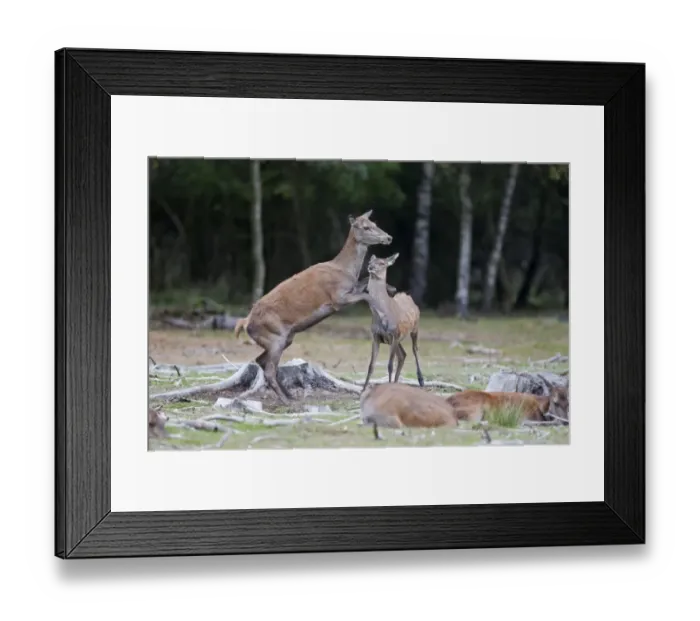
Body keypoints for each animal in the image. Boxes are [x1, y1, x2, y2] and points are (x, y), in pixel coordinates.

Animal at [234, 210, 392, 404]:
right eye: (366, 227)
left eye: (374, 223)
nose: (388, 237)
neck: (345, 270)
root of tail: (246, 322)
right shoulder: (337, 298)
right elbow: (367, 295)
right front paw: (383, 314)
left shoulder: (349, 290)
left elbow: (365, 284)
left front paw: (391, 290)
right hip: (275, 337)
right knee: (269, 368)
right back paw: (287, 401)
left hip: (283, 338)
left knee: (261, 360)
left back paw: (289, 395)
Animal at [360, 252, 424, 391]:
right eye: (370, 261)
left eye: (382, 263)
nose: (370, 267)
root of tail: (409, 297)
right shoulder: (376, 336)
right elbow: (371, 365)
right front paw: (363, 390)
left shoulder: (394, 334)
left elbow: (389, 365)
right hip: (397, 339)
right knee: (403, 355)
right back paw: (396, 383)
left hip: (415, 328)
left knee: (414, 349)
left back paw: (421, 380)